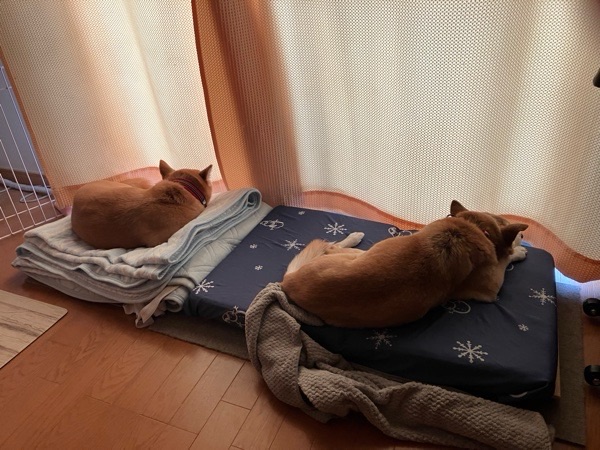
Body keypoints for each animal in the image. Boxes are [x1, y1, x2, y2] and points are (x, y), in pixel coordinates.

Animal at [281, 201, 528, 328]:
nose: (524, 237)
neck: (470, 229)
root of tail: (289, 281)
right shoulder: (490, 288)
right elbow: (505, 259)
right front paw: (518, 249)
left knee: (328, 246)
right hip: (358, 253)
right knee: (330, 246)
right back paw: (353, 236)